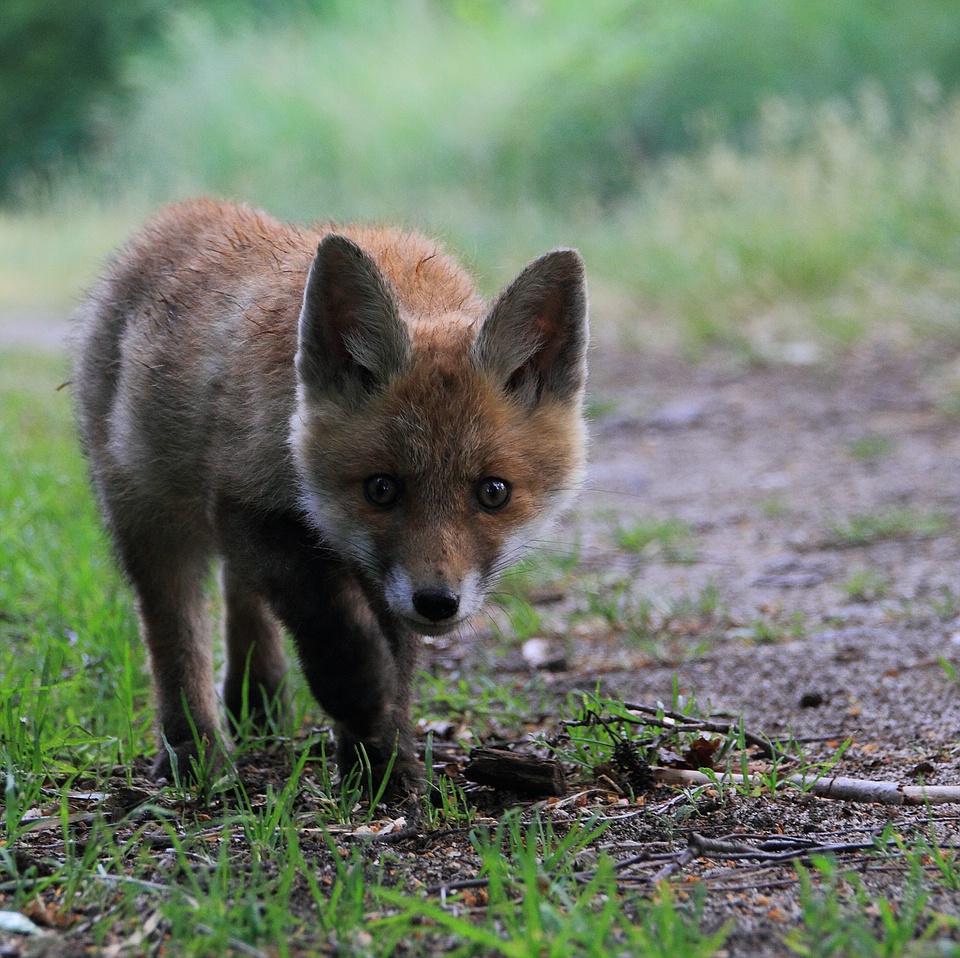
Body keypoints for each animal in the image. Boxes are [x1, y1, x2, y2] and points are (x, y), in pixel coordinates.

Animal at [73, 199, 584, 800]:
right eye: (381, 488)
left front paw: (382, 770)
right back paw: (196, 754)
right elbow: (328, 622)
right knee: (176, 638)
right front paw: (359, 698)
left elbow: (397, 664)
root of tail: (184, 211)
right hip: (149, 520)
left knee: (240, 595)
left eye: (493, 492)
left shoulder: (376, 572)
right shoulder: (247, 503)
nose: (437, 602)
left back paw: (256, 703)